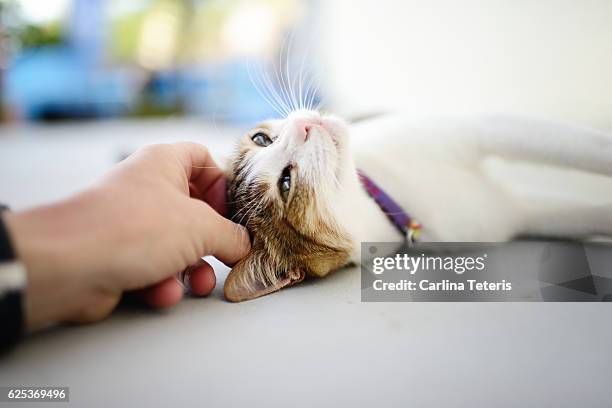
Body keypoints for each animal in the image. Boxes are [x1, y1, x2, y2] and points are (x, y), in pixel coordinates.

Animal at [222, 110, 612, 302]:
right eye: (286, 183)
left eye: (261, 138)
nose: (304, 125)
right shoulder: (518, 214)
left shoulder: (483, 129)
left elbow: (588, 146)